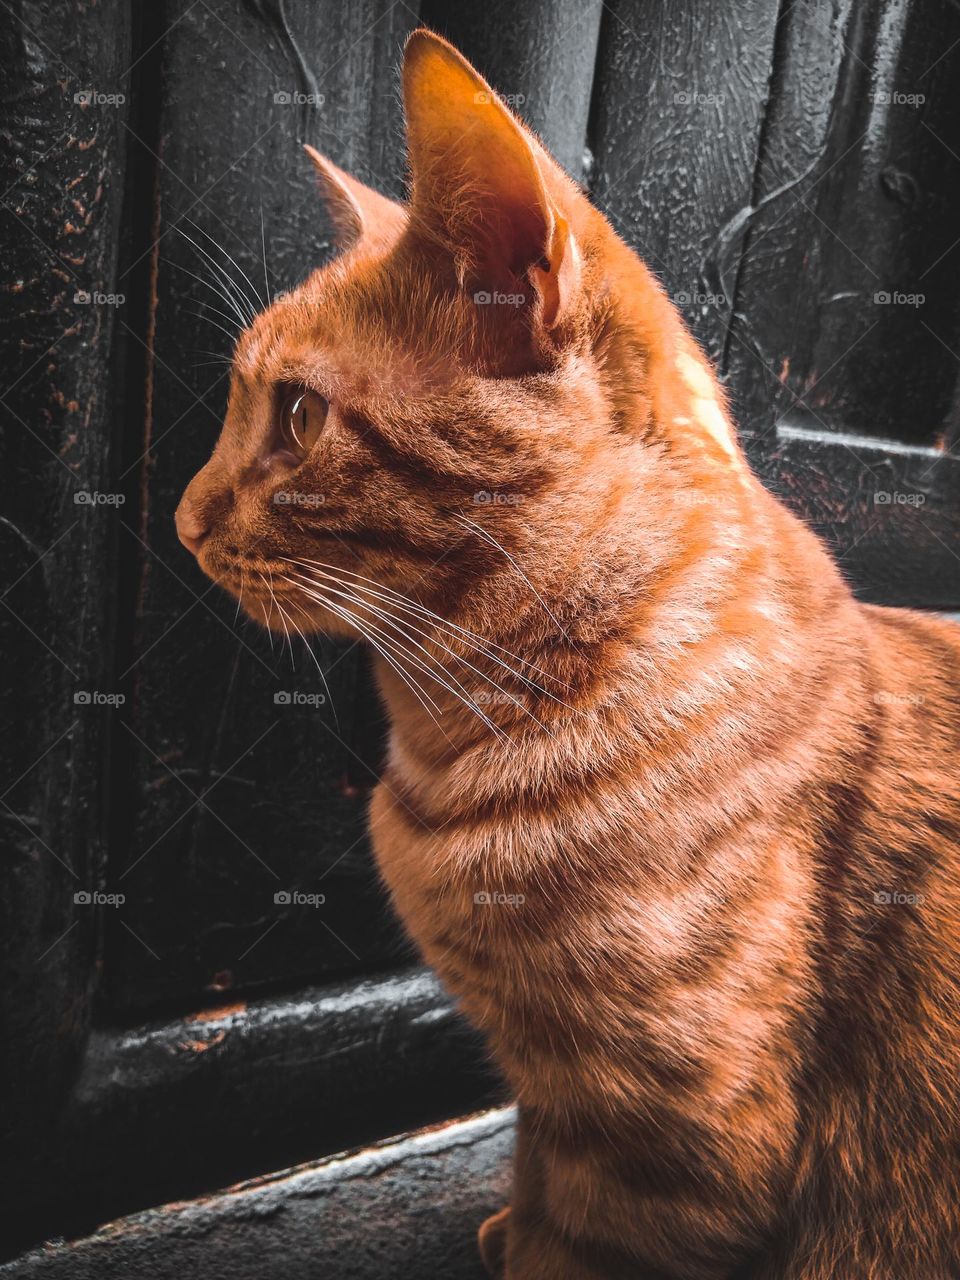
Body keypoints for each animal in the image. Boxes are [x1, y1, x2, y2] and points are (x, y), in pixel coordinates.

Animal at [176, 30, 960, 1280]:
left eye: (294, 416)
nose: (179, 520)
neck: (452, 740)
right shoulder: (558, 1101)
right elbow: (535, 1169)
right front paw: (504, 1223)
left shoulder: (670, 1145)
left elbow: (571, 1234)